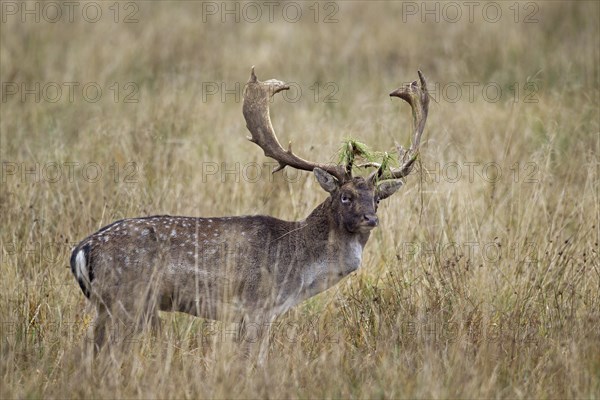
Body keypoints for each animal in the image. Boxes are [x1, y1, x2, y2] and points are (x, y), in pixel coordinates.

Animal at [70, 68, 428, 356]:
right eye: (345, 196)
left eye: (377, 199)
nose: (371, 219)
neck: (300, 270)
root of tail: (82, 250)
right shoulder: (258, 306)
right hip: (126, 298)